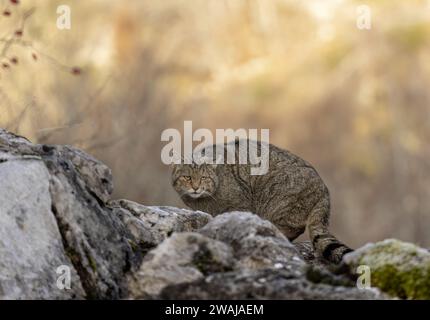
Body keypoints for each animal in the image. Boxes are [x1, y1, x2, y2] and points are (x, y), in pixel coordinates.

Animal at [171, 139, 352, 264]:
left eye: (203, 178)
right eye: (187, 178)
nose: (195, 187)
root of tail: (324, 190)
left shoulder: (241, 205)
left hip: (279, 201)